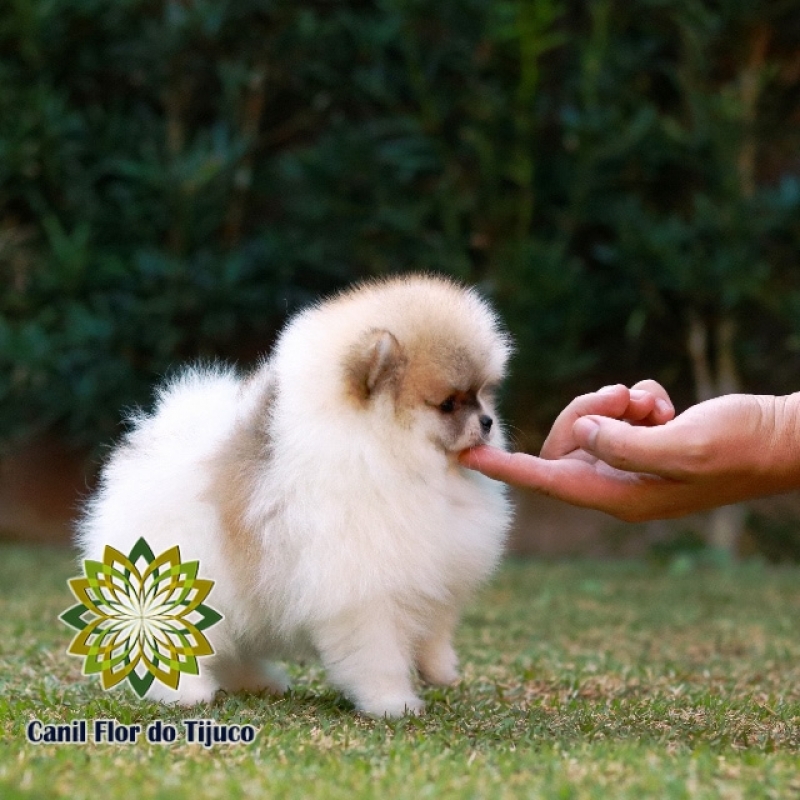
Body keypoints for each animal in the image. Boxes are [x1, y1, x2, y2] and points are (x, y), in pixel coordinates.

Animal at [76, 272, 512, 716]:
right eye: (448, 404)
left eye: (482, 393)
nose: (488, 422)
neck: (381, 452)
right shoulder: (364, 595)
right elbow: (379, 657)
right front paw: (393, 703)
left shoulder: (438, 567)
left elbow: (436, 628)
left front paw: (440, 669)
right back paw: (187, 693)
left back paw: (255, 682)